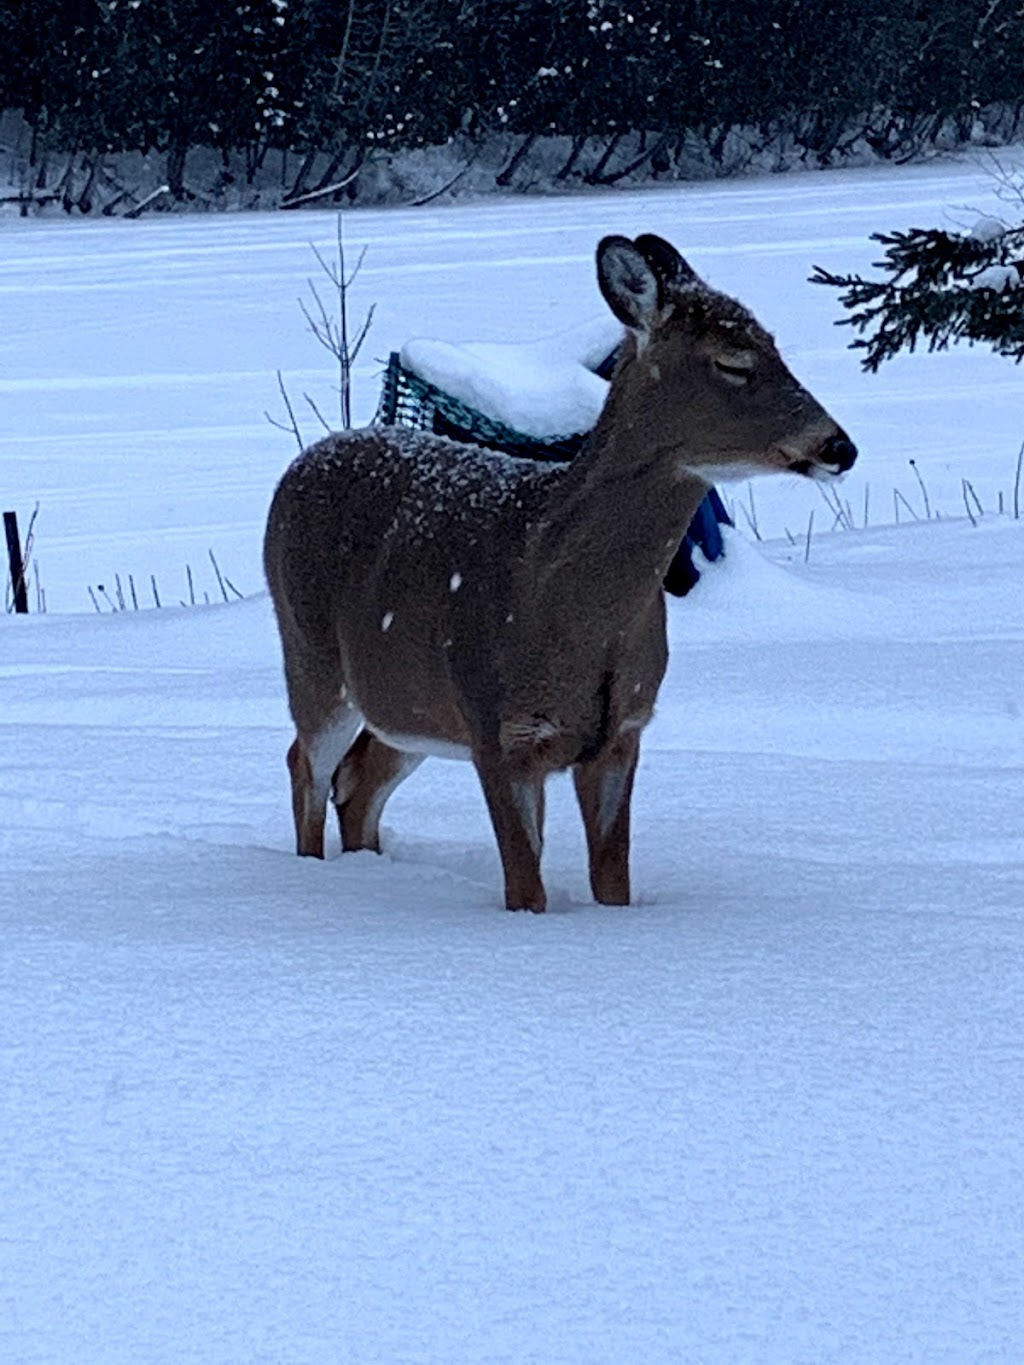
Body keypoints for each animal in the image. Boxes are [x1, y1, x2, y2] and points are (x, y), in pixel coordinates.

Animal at [264, 234, 857, 911]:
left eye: (776, 345)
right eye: (734, 363)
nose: (840, 447)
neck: (561, 600)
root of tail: (301, 463)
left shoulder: (622, 730)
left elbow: (613, 880)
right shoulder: (498, 726)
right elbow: (527, 889)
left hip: (409, 701)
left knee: (358, 778)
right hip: (311, 655)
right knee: (306, 765)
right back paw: (313, 877)